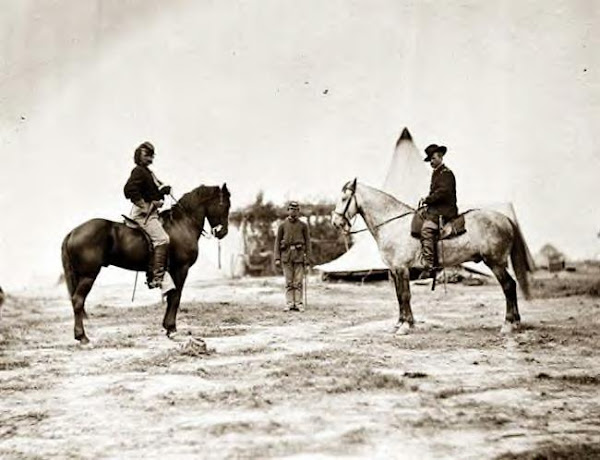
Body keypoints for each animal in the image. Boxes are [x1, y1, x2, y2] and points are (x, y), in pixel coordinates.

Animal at [61, 183, 230, 342]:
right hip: (88, 275)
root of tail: (73, 232)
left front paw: (167, 327)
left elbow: (171, 297)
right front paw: (171, 329)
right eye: (224, 205)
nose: (223, 232)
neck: (182, 224)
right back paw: (82, 336)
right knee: (78, 301)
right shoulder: (181, 269)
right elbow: (175, 297)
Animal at [330, 179, 532, 334]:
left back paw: (508, 324)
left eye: (344, 198)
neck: (393, 224)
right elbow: (399, 295)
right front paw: (401, 323)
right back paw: (515, 323)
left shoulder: (402, 268)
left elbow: (405, 295)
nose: (335, 222)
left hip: (495, 263)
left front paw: (405, 326)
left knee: (508, 286)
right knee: (511, 286)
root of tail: (505, 218)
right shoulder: (395, 270)